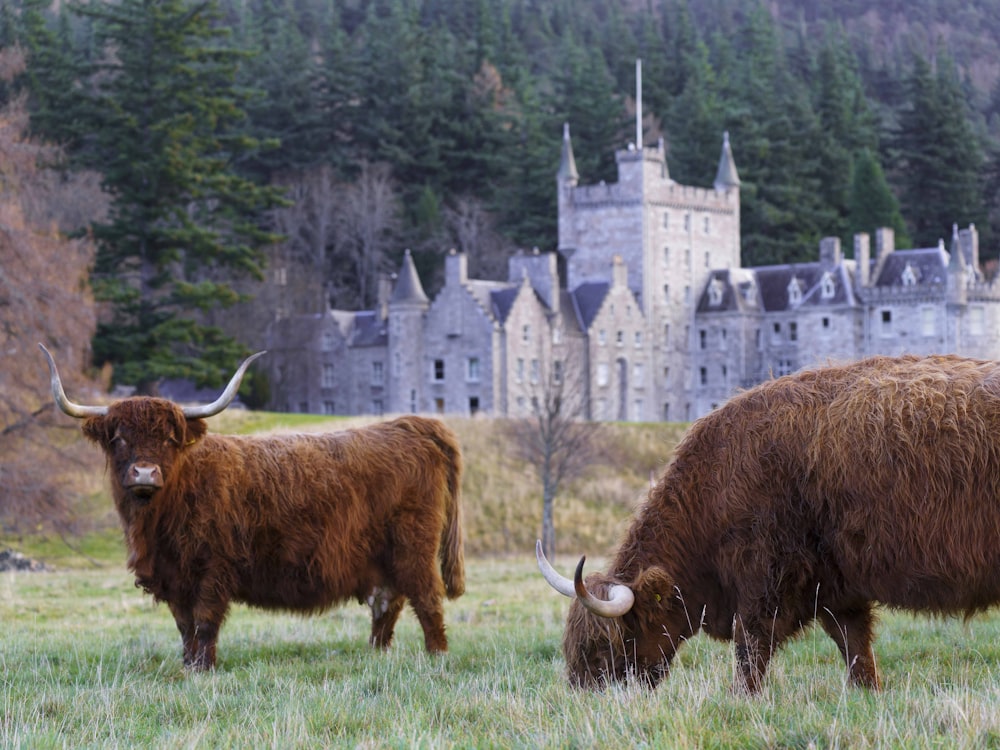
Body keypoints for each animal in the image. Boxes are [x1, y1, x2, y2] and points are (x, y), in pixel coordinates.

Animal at [42, 346, 464, 668]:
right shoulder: (174, 576)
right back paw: (376, 655)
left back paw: (437, 657)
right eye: (119, 439)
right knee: (386, 604)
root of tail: (411, 425)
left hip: (413, 547)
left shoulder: (214, 568)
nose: (145, 473)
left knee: (427, 598)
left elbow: (205, 621)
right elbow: (184, 625)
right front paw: (188, 664)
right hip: (384, 559)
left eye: (168, 439)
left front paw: (204, 669)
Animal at [540, 356, 1000, 696]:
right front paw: (866, 690)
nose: (581, 695)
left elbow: (752, 645)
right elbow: (853, 644)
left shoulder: (766, 577)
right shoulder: (838, 587)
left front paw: (740, 697)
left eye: (608, 645)